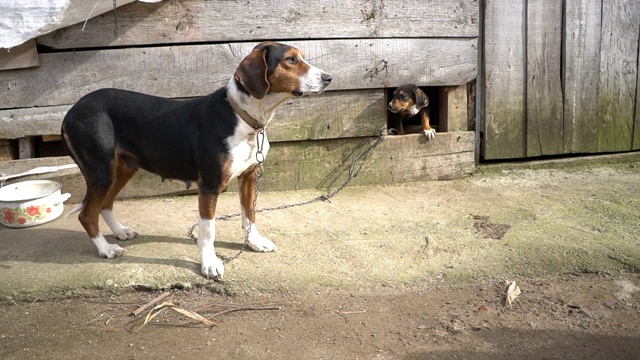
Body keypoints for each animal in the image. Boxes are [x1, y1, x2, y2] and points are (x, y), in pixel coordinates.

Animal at [60, 40, 332, 280]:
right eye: (291, 59)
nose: (329, 78)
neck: (243, 118)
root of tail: (71, 111)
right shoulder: (210, 186)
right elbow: (208, 231)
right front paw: (210, 264)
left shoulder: (248, 177)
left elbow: (250, 215)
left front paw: (254, 242)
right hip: (102, 171)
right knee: (87, 214)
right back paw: (105, 249)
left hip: (123, 168)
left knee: (104, 205)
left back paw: (119, 232)